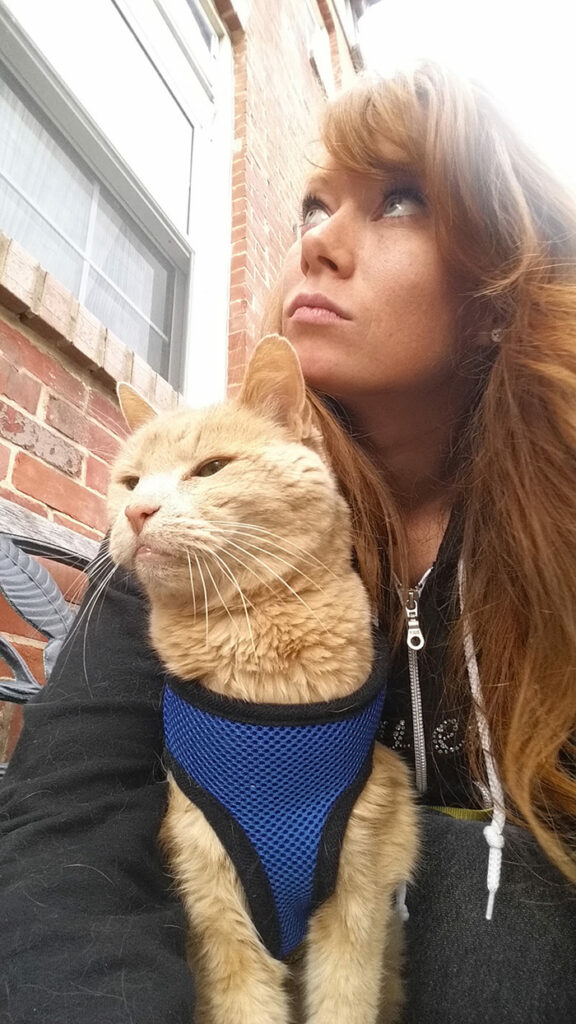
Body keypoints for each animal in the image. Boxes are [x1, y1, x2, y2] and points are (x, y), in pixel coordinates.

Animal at [105, 335, 414, 1024]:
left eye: (211, 469)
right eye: (130, 482)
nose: (137, 510)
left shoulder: (358, 894)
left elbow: (344, 1003)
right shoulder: (214, 902)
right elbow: (247, 1005)